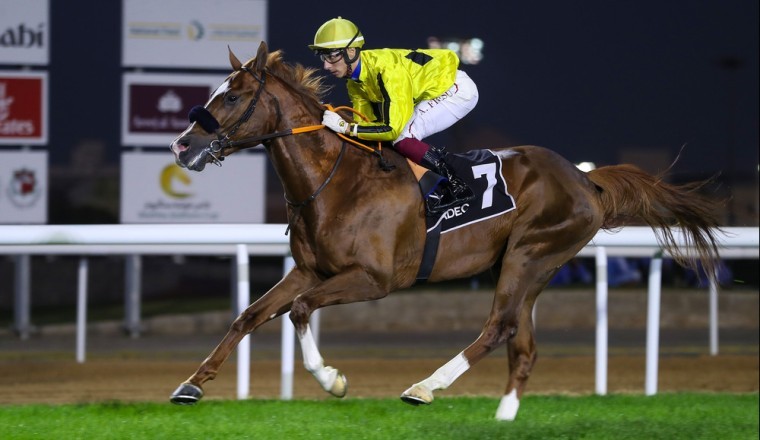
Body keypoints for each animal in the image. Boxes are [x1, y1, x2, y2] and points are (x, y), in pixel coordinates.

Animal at [168, 41, 722, 420]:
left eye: (234, 95)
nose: (181, 145)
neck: (336, 181)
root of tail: (586, 179)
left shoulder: (373, 280)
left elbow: (300, 311)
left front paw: (333, 381)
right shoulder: (310, 270)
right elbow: (249, 315)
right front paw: (191, 385)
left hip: (530, 253)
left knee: (497, 327)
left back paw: (425, 387)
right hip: (529, 265)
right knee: (522, 343)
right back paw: (504, 417)